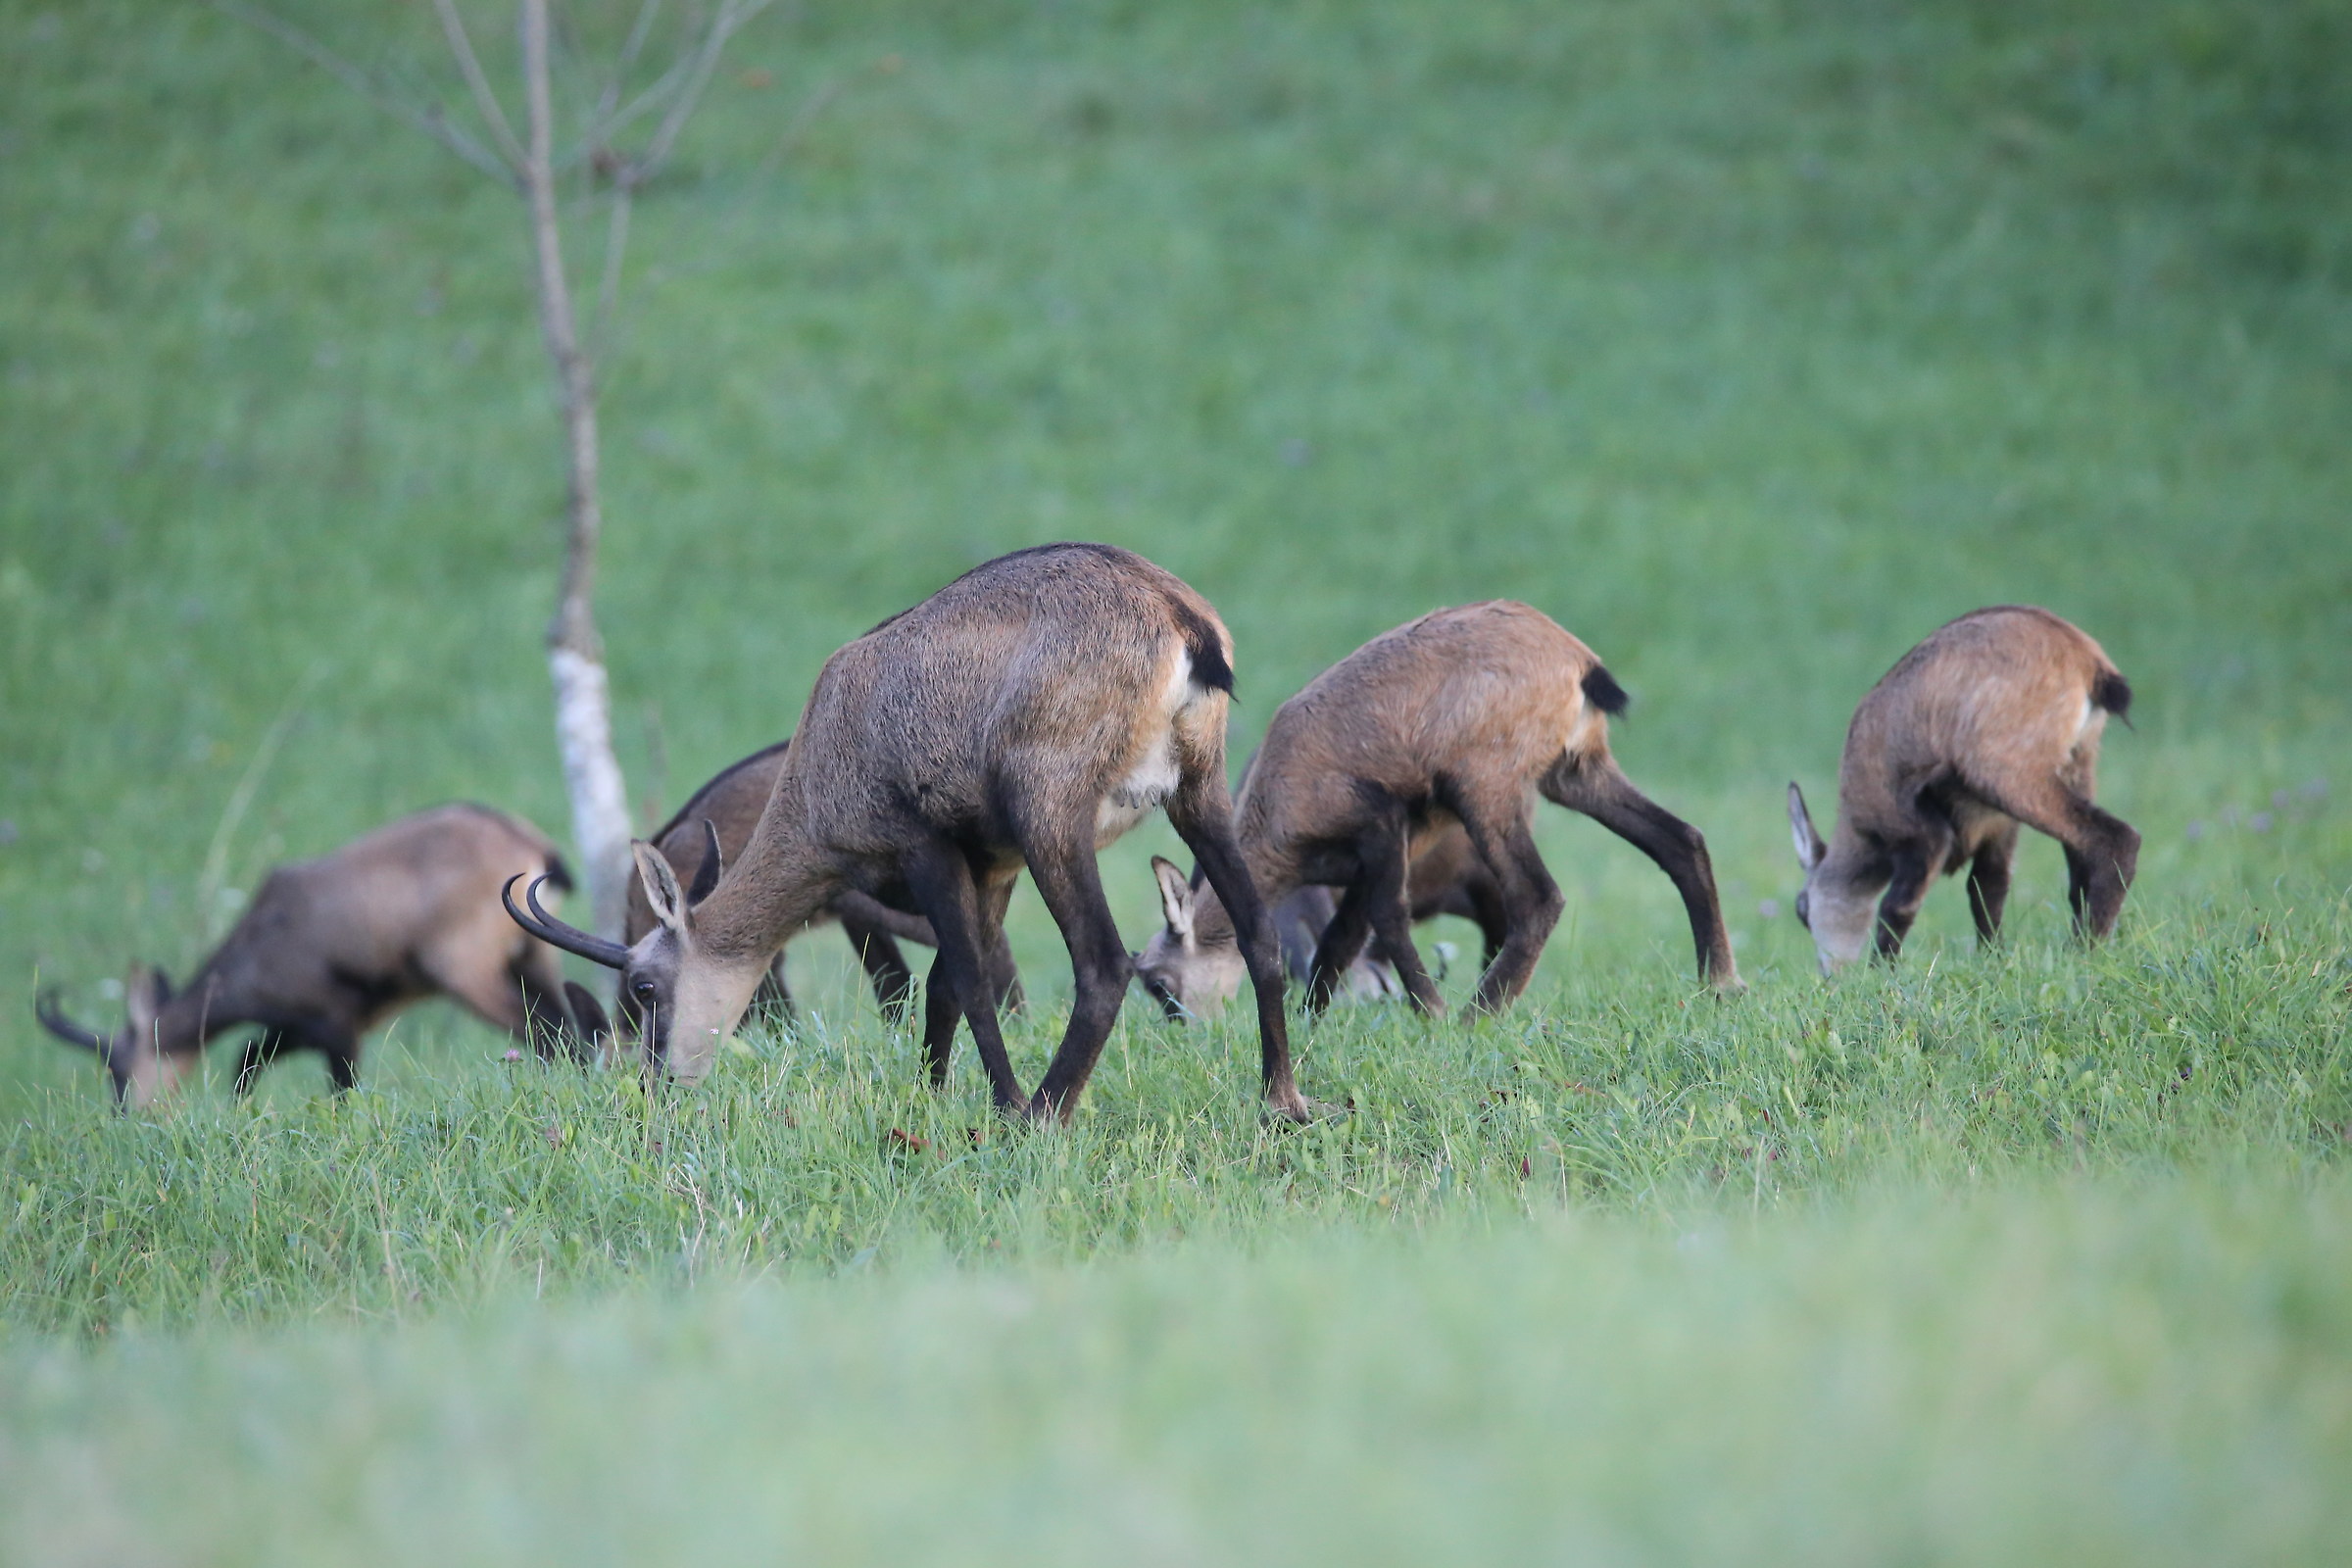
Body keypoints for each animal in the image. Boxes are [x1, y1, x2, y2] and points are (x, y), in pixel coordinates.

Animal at [42, 804, 583, 1109]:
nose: (126, 1117)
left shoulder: (334, 1024)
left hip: (468, 974)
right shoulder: (294, 1028)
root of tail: (531, 846)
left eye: (116, 1069)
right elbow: (246, 1061)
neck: (254, 952)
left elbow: (341, 1090)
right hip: (534, 957)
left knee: (544, 1032)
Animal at [1129, 602, 1740, 1020]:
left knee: (1539, 897)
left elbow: (1387, 918)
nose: (1188, 1031)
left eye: (1159, 983)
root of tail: (1578, 662)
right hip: (1577, 770)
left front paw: (1432, 1012)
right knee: (1680, 840)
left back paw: (1479, 1014)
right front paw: (1313, 1019)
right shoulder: (1358, 870)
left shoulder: (1380, 825)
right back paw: (1719, 982)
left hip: (1486, 786)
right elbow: (1341, 940)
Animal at [1788, 602, 2144, 968]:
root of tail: (2085, 659)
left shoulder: (1918, 828)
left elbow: (1899, 906)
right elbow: (1987, 889)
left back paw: (2088, 948)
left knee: (2116, 838)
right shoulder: (1999, 827)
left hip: (2008, 774)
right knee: (2080, 863)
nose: (1830, 973)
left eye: (1801, 909)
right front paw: (1993, 958)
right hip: (2077, 765)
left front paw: (1882, 971)